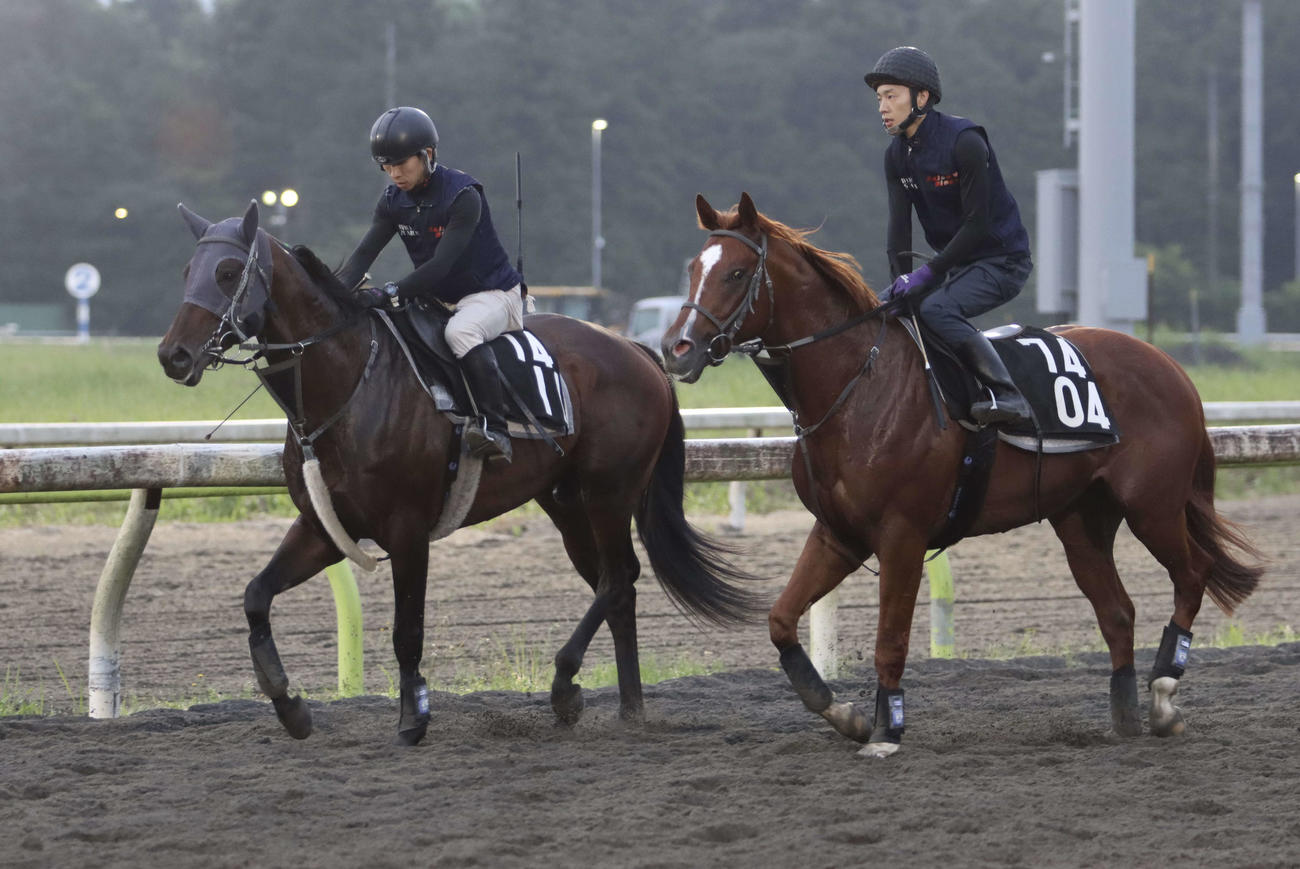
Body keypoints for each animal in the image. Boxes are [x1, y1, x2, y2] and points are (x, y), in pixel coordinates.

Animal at [157, 200, 761, 745]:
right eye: (186, 271)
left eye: (228, 272)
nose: (173, 355)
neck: (350, 382)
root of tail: (640, 352)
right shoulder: (325, 527)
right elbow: (256, 595)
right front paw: (289, 704)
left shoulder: (406, 531)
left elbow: (407, 630)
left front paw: (414, 717)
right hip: (565, 501)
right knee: (617, 587)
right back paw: (629, 708)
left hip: (610, 490)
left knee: (617, 579)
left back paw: (566, 686)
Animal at [663, 192, 1263, 758]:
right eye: (693, 268)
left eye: (737, 273)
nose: (676, 349)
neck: (859, 387)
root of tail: (1173, 368)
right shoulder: (838, 534)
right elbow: (781, 620)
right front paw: (848, 716)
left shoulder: (902, 536)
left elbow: (891, 639)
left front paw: (886, 729)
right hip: (1081, 519)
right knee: (1118, 612)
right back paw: (1126, 718)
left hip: (1152, 505)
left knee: (1195, 573)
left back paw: (1163, 696)